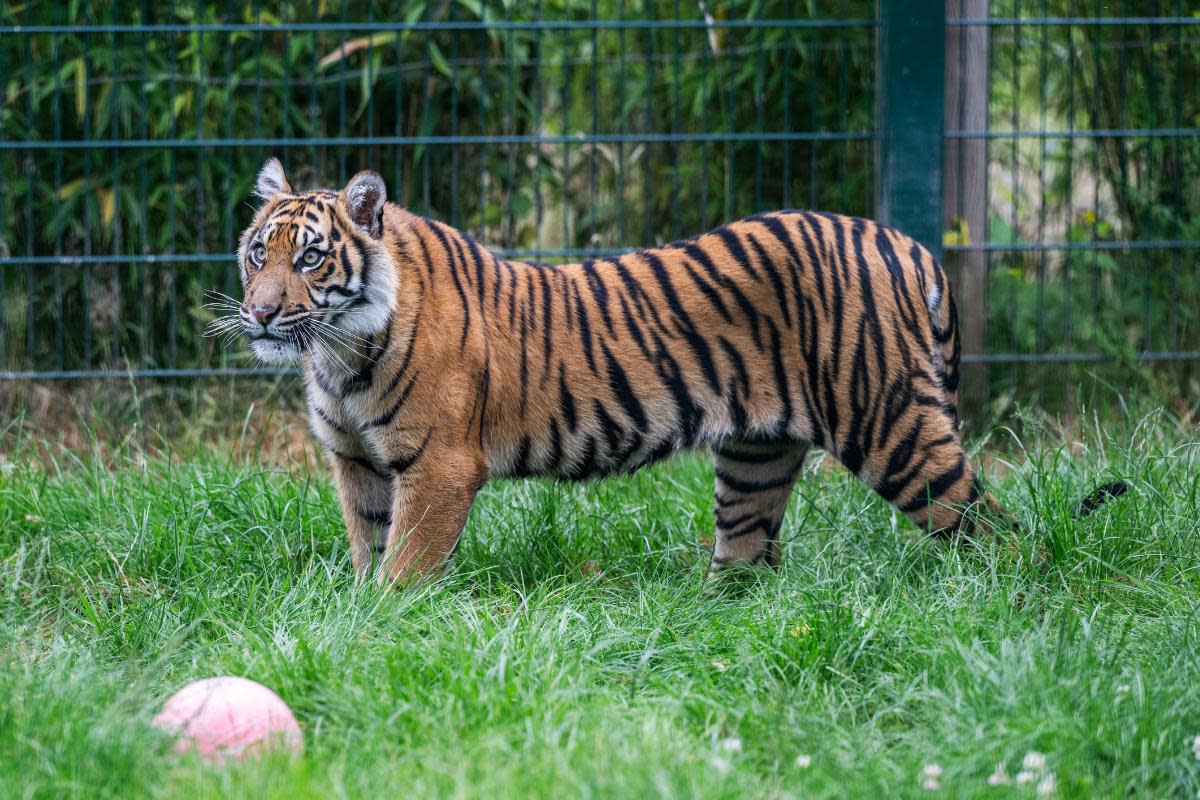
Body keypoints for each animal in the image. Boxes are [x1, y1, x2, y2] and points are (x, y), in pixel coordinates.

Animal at [231, 155, 1123, 585]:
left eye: (311, 259)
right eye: (256, 253)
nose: (263, 314)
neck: (339, 351)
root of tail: (908, 242)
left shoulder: (440, 464)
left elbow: (406, 562)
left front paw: (386, 624)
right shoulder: (358, 463)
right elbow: (367, 544)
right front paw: (355, 616)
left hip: (893, 425)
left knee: (995, 530)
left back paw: (1004, 605)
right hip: (758, 454)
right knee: (750, 555)